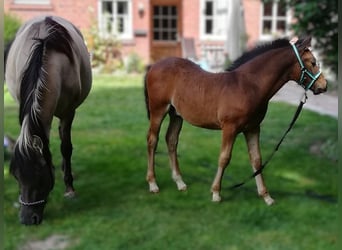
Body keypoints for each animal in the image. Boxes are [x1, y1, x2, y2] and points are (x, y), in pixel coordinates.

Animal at [5, 15, 93, 225]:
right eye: (16, 176)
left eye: (39, 175)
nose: (27, 220)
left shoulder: (68, 112)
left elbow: (66, 147)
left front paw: (69, 188)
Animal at [143, 37, 328, 205]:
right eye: (312, 62)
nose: (324, 85)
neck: (248, 85)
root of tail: (154, 66)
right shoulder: (229, 128)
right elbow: (224, 158)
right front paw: (216, 193)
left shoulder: (253, 128)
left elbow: (257, 159)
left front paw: (266, 196)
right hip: (158, 110)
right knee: (152, 140)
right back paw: (153, 184)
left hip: (176, 115)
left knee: (171, 140)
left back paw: (180, 182)